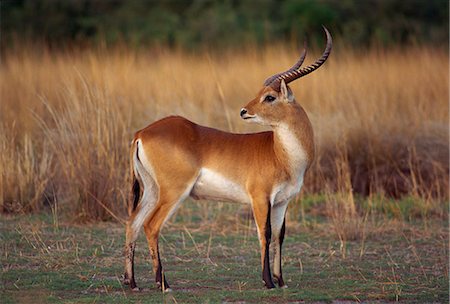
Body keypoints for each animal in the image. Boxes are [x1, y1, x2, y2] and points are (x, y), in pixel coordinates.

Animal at [123, 27, 330, 290]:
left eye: (269, 97)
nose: (243, 111)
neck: (281, 154)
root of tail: (142, 132)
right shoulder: (260, 198)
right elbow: (265, 234)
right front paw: (268, 282)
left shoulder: (282, 202)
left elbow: (279, 236)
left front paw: (280, 280)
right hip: (173, 192)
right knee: (151, 226)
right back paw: (163, 284)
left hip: (151, 189)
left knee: (133, 223)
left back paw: (132, 282)